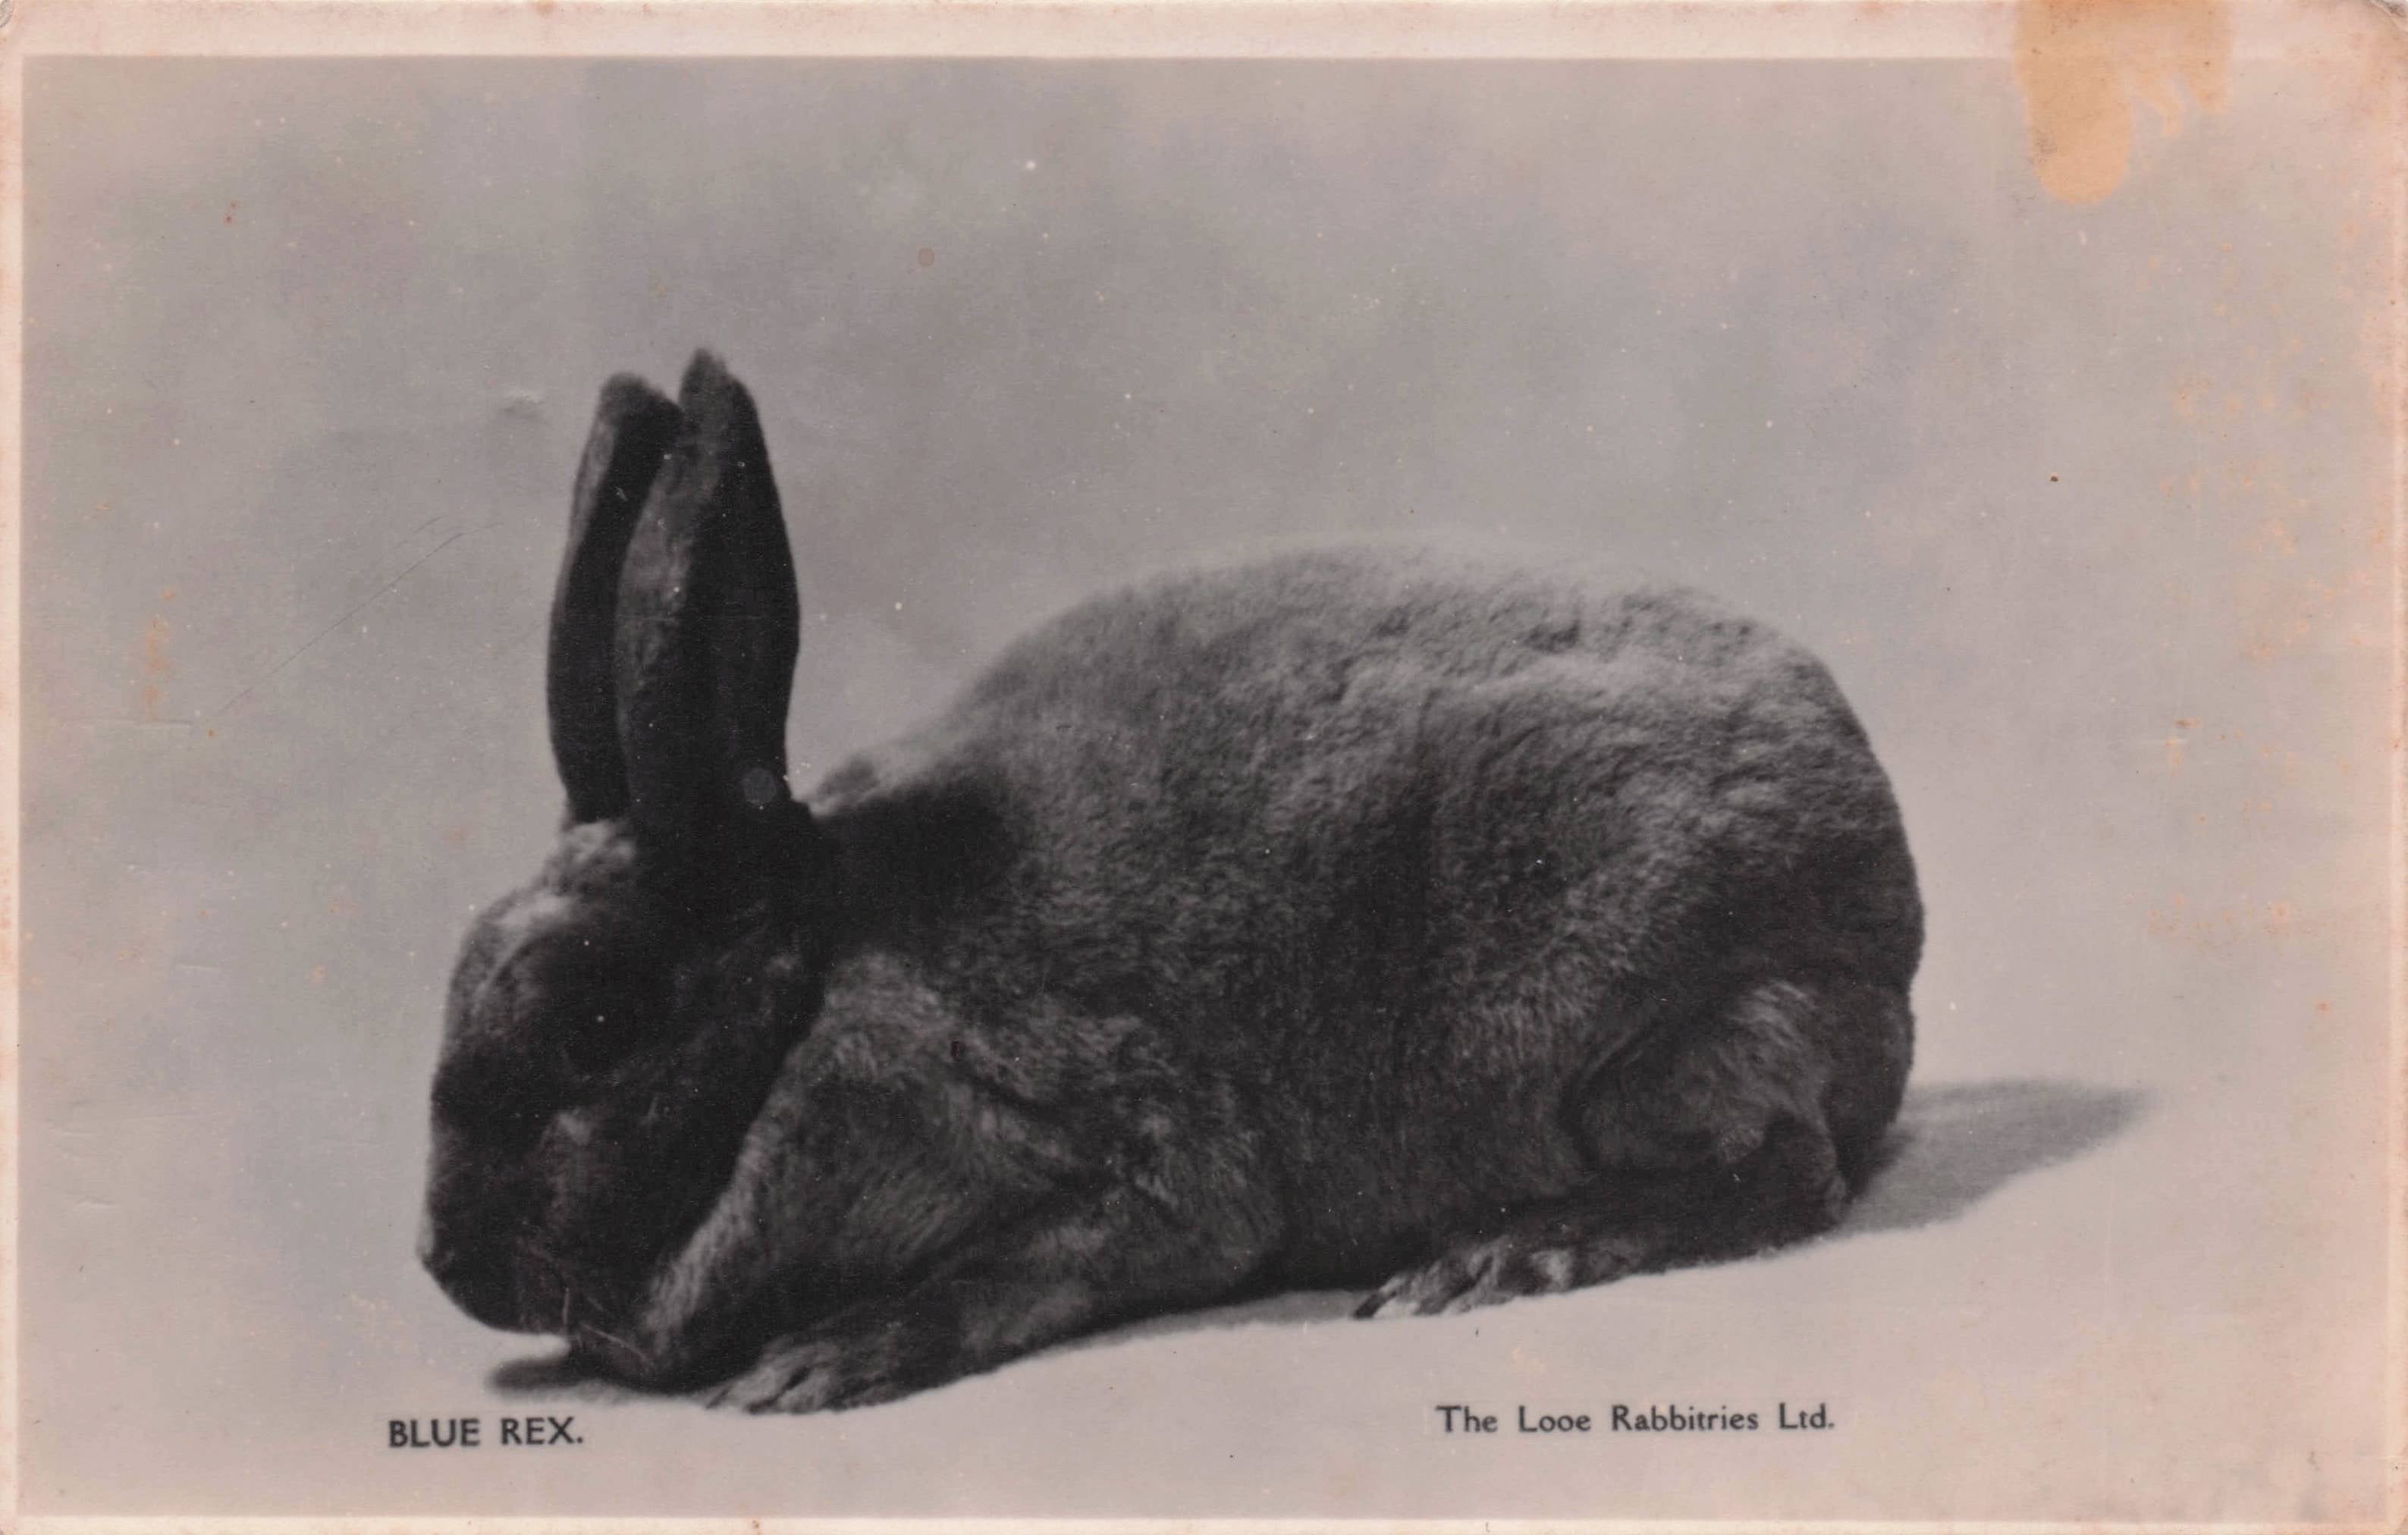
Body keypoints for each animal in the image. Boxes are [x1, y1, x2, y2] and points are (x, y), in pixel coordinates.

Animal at [419, 350, 1922, 1414]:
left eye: (595, 1023)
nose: (445, 1266)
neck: (816, 984)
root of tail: (1882, 872)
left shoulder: (1127, 1143)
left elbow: (1054, 1249)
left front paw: (818, 1362)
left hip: (1642, 1030)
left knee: (1781, 1161)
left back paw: (1492, 1258)